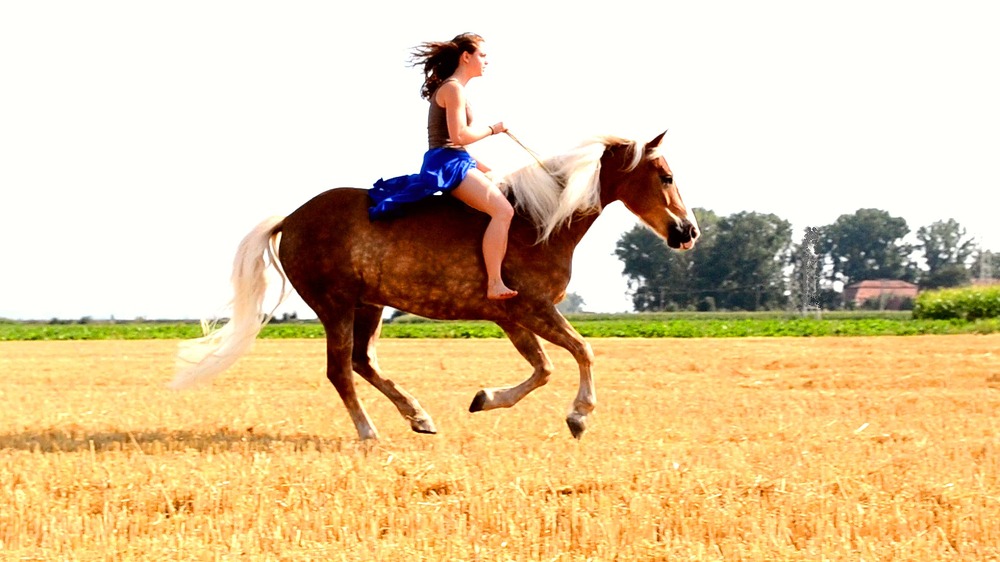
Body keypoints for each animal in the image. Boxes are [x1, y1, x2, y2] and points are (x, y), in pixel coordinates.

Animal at [172, 130, 700, 438]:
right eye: (666, 175)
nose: (688, 231)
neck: (540, 221)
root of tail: (291, 218)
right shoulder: (532, 309)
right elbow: (581, 352)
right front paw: (578, 416)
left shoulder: (512, 317)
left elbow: (544, 368)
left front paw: (485, 399)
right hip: (335, 305)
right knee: (340, 371)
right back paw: (370, 433)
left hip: (368, 306)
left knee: (362, 362)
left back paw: (419, 417)